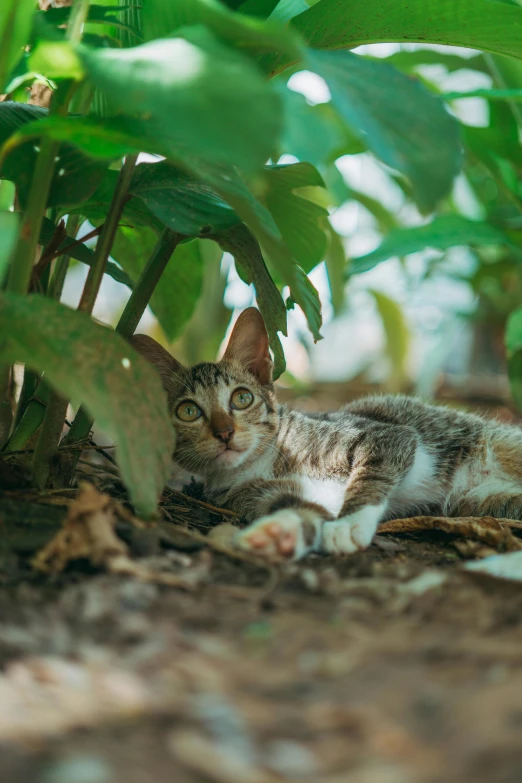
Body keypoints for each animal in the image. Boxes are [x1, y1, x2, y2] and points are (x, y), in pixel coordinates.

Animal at [131, 304, 522, 556]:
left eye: (241, 398)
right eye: (188, 411)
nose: (224, 432)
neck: (263, 463)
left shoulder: (383, 436)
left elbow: (371, 473)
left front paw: (349, 524)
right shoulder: (264, 494)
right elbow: (305, 511)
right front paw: (278, 534)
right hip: (488, 503)